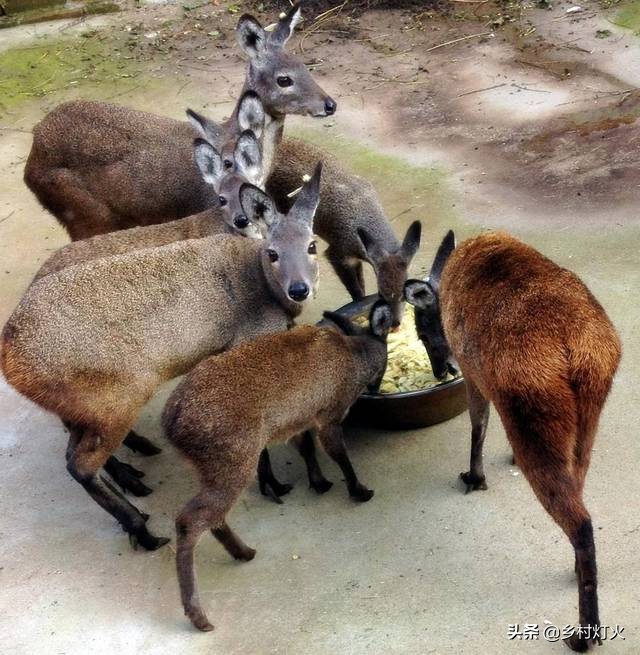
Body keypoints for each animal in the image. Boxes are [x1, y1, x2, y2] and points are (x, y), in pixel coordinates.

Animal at [2, 167, 324, 552]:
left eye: (312, 245)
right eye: (273, 253)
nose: (299, 289)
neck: (265, 291)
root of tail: (11, 358)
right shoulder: (247, 340)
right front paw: (272, 485)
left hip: (88, 405)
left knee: (73, 448)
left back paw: (135, 470)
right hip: (120, 396)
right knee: (78, 464)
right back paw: (141, 526)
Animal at [162, 300, 392, 632]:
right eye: (387, 355)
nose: (378, 387)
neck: (353, 358)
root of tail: (171, 427)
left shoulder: (298, 420)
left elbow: (306, 448)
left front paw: (319, 482)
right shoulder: (329, 413)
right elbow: (338, 454)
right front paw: (359, 490)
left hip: (211, 468)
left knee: (211, 516)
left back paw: (243, 552)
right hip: (233, 459)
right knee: (189, 519)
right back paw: (199, 615)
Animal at [404, 229, 620, 652]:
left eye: (423, 332)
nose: (440, 371)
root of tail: (578, 354)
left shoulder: (472, 373)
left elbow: (478, 424)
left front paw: (474, 477)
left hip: (531, 413)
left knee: (580, 522)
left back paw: (584, 633)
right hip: (588, 417)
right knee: (579, 492)